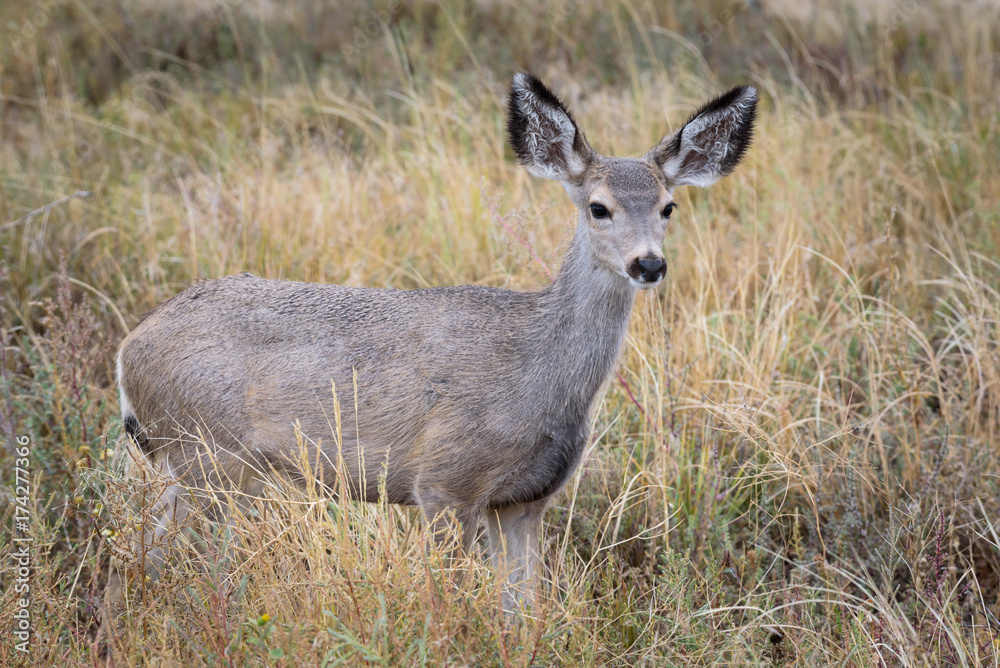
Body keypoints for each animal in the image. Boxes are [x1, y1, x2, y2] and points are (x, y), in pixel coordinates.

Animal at [107, 72, 757, 615]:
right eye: (599, 207)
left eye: (669, 206)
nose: (648, 264)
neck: (536, 366)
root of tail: (128, 350)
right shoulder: (445, 481)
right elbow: (446, 600)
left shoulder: (525, 500)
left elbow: (522, 609)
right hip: (207, 454)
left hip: (188, 464)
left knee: (140, 553)